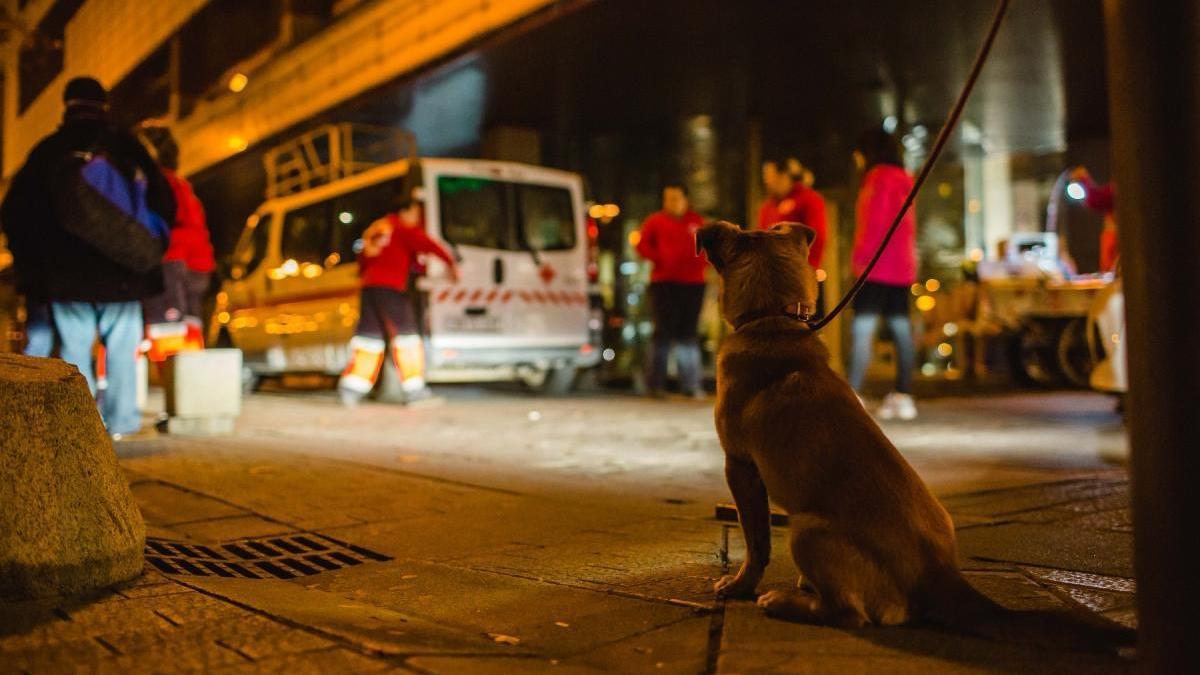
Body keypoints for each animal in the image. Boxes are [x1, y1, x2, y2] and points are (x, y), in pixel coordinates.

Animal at [700, 219, 988, 624]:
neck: (773, 320)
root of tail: (939, 573)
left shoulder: (741, 466)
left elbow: (756, 543)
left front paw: (740, 586)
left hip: (805, 529)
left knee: (848, 612)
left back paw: (783, 602)